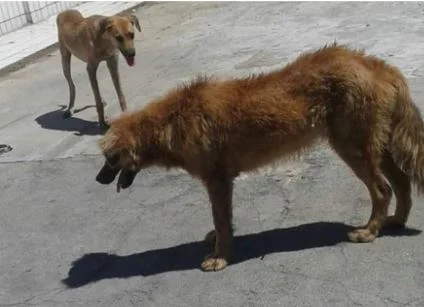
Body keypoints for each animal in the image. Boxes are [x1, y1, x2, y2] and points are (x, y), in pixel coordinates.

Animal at [95, 44, 424, 272]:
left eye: (110, 159)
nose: (98, 179)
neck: (170, 121)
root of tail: (377, 65)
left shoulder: (217, 179)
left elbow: (221, 219)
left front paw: (220, 257)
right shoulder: (221, 181)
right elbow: (223, 220)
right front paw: (219, 242)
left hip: (353, 147)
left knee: (382, 190)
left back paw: (369, 231)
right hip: (378, 145)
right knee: (401, 182)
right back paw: (395, 221)